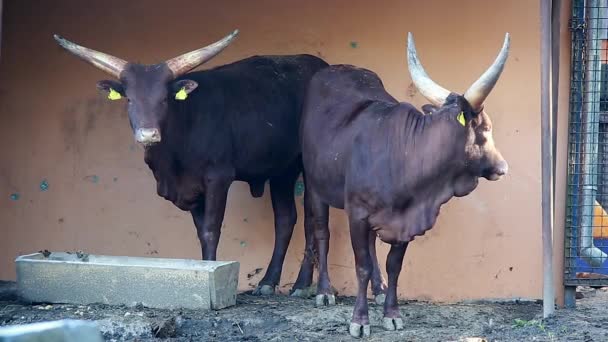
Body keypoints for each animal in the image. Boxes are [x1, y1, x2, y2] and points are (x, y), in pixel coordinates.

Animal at [302, 33, 510, 338]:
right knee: (321, 232)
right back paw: (325, 290)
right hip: (314, 185)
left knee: (373, 246)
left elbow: (393, 266)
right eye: (485, 129)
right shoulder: (357, 214)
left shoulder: (404, 221)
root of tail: (336, 68)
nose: (503, 167)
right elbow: (361, 265)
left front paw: (392, 314)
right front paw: (360, 320)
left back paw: (378, 290)